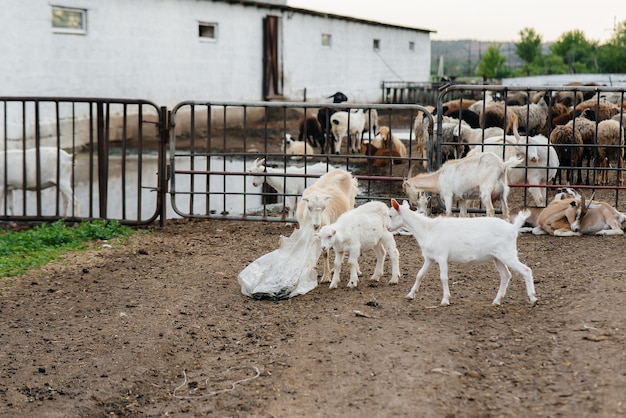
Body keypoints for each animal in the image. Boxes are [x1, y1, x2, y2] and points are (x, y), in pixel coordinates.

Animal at [388, 198, 532, 306]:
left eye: (390, 215)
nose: (387, 227)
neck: (427, 229)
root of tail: (513, 228)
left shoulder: (442, 256)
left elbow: (443, 277)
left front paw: (445, 300)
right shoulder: (430, 257)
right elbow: (420, 274)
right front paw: (410, 295)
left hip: (507, 253)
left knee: (526, 270)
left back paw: (533, 298)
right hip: (498, 257)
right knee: (506, 275)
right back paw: (496, 301)